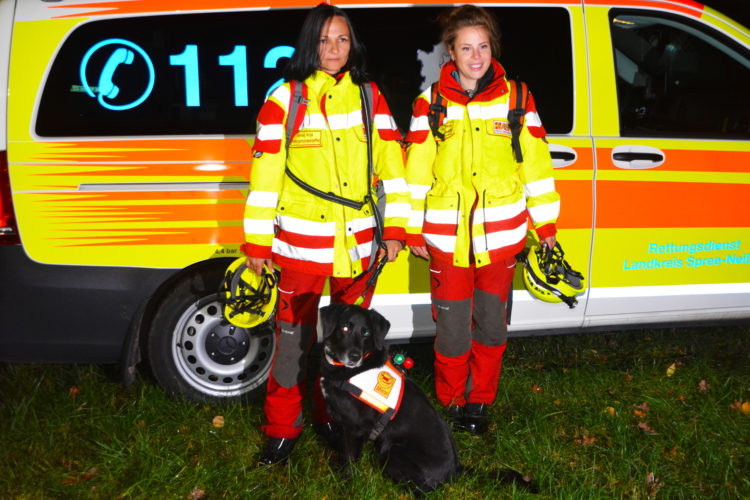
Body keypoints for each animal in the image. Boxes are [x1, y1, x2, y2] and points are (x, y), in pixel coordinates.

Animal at [318, 302, 462, 490]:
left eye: (366, 333)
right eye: (345, 328)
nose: (355, 357)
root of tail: (453, 473)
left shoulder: (356, 428)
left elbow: (349, 460)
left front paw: (345, 484)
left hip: (391, 451)